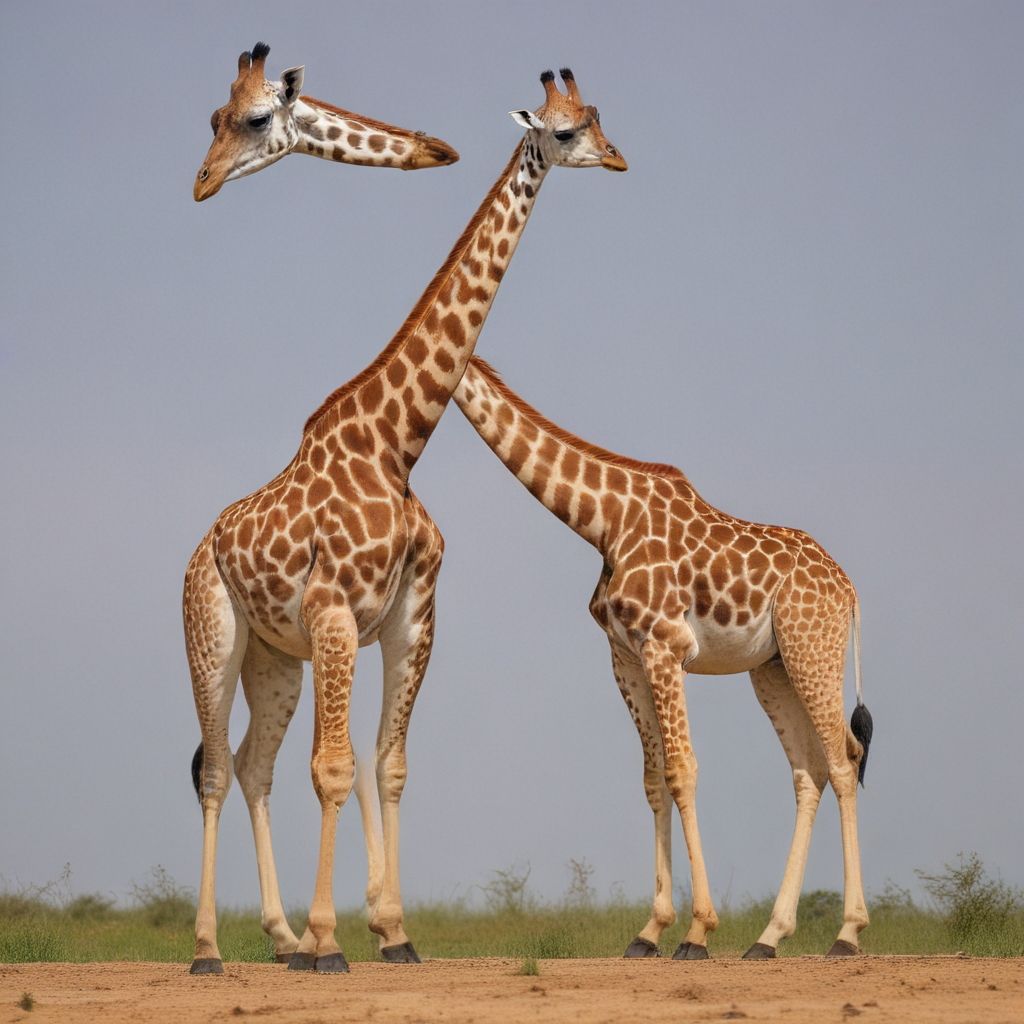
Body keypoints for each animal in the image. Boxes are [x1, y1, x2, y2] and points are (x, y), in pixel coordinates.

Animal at [185, 68, 626, 975]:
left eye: (598, 118)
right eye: (564, 132)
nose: (617, 159)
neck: (395, 444)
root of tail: (199, 547)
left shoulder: (409, 619)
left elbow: (384, 765)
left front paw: (391, 932)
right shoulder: (332, 612)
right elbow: (333, 769)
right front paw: (332, 943)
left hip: (275, 659)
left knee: (250, 766)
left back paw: (279, 939)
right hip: (213, 633)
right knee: (213, 767)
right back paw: (212, 948)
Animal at [452, 356, 874, 960]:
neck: (603, 519)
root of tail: (849, 589)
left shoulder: (665, 645)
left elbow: (682, 770)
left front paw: (697, 933)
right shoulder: (624, 654)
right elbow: (653, 777)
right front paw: (650, 931)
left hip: (813, 646)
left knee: (844, 759)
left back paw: (847, 933)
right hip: (772, 667)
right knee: (807, 772)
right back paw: (768, 937)